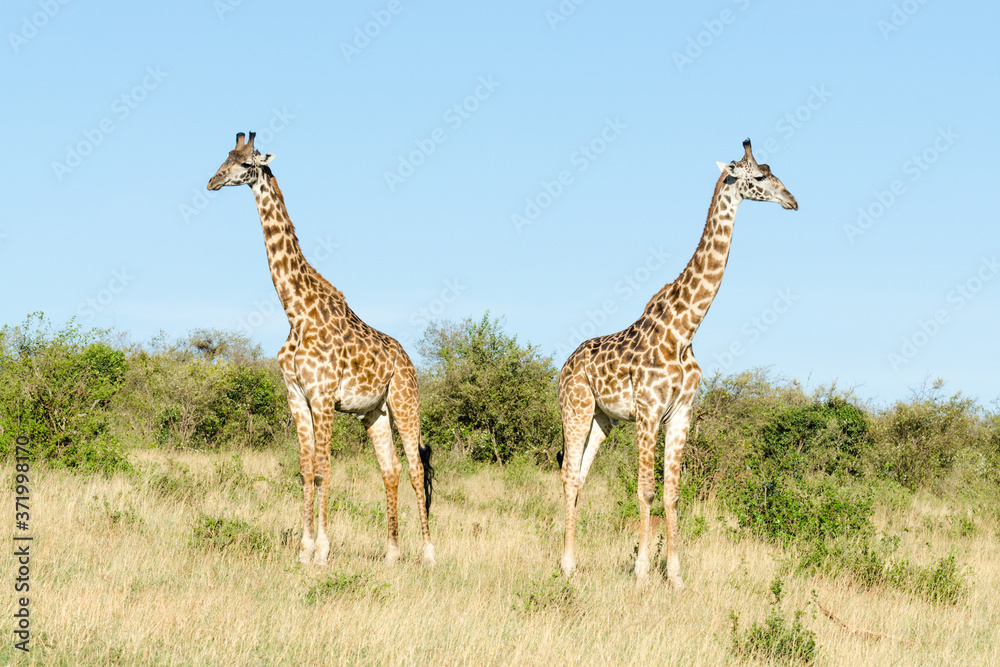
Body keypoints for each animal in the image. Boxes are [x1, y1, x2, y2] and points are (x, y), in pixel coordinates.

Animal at [207, 132, 435, 567]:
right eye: (224, 158)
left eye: (247, 164)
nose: (212, 182)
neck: (296, 311)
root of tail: (410, 363)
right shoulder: (296, 395)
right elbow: (304, 469)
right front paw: (303, 549)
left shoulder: (323, 396)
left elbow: (323, 469)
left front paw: (322, 551)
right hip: (374, 413)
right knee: (391, 469)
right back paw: (391, 554)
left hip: (404, 402)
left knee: (416, 469)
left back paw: (430, 554)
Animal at [557, 139, 797, 586]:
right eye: (760, 176)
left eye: (774, 172)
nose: (792, 200)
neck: (684, 331)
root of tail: (563, 366)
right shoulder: (649, 411)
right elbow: (646, 489)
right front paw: (641, 572)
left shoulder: (682, 411)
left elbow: (672, 492)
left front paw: (676, 575)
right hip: (575, 409)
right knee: (567, 475)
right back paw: (565, 566)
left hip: (603, 419)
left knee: (579, 476)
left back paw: (574, 561)